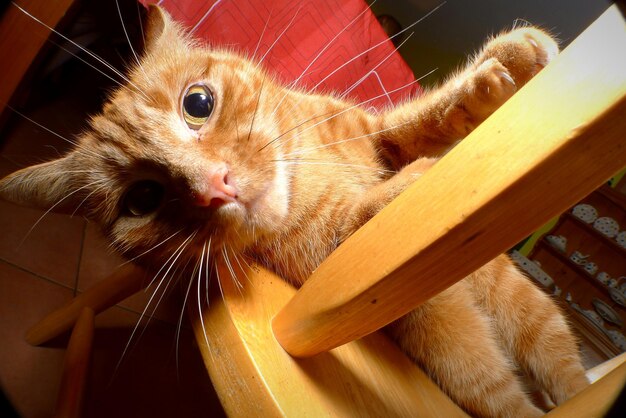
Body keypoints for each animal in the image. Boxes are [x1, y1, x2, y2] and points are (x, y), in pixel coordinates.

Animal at [0, 6, 584, 418]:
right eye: (141, 200)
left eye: (197, 103)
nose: (215, 187)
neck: (305, 172)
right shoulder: (324, 263)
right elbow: (359, 217)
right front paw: (407, 188)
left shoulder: (375, 137)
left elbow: (418, 121)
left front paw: (498, 68)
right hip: (470, 365)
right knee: (517, 403)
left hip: (529, 311)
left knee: (565, 373)